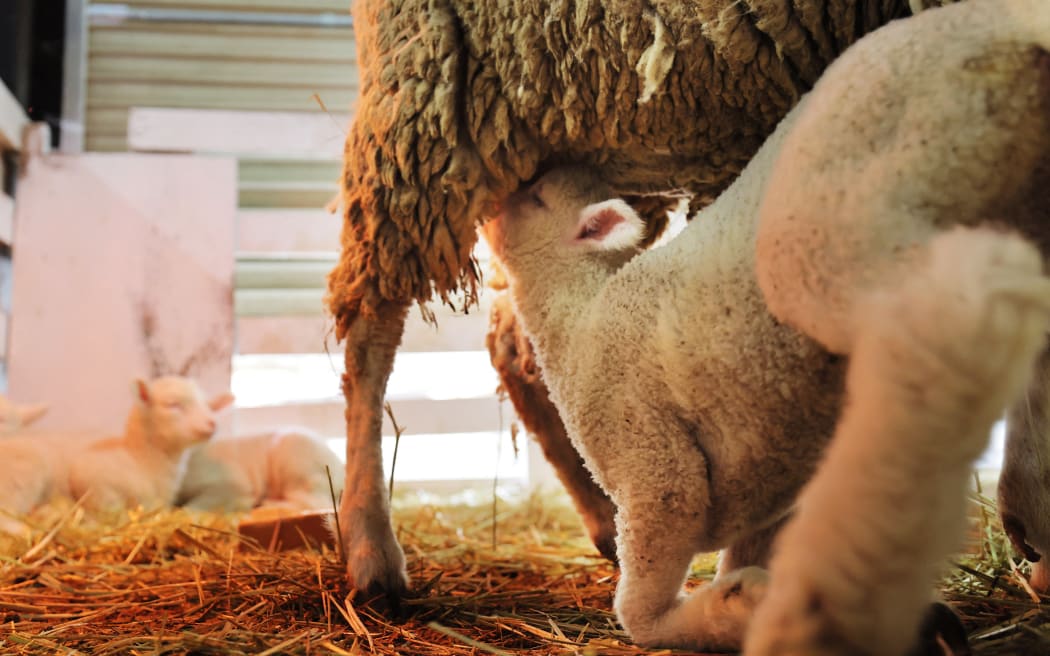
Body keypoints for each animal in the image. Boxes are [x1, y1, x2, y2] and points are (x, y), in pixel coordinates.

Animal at [325, 0, 953, 591]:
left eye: (539, 201)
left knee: (510, 343)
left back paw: (604, 520)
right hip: (423, 93)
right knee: (373, 330)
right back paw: (371, 547)